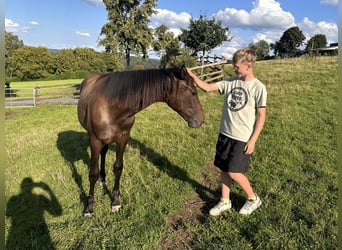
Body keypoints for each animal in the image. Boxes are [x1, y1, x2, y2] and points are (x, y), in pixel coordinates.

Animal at [77, 65, 203, 216]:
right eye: (193, 92)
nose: (201, 120)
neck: (112, 107)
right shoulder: (95, 141)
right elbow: (92, 173)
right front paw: (89, 207)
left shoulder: (123, 138)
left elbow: (118, 167)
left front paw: (115, 202)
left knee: (104, 153)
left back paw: (103, 179)